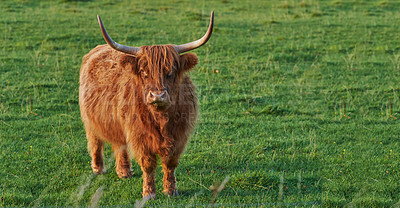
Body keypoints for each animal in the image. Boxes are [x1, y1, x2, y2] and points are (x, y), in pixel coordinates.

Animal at [79, 11, 214, 198]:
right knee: (95, 141)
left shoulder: (179, 136)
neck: (161, 119)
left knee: (119, 144)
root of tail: (98, 48)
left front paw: (171, 190)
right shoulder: (139, 136)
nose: (157, 95)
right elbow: (148, 164)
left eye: (170, 72)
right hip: (91, 120)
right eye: (144, 72)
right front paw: (149, 193)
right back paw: (98, 168)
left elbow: (170, 163)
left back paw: (124, 172)